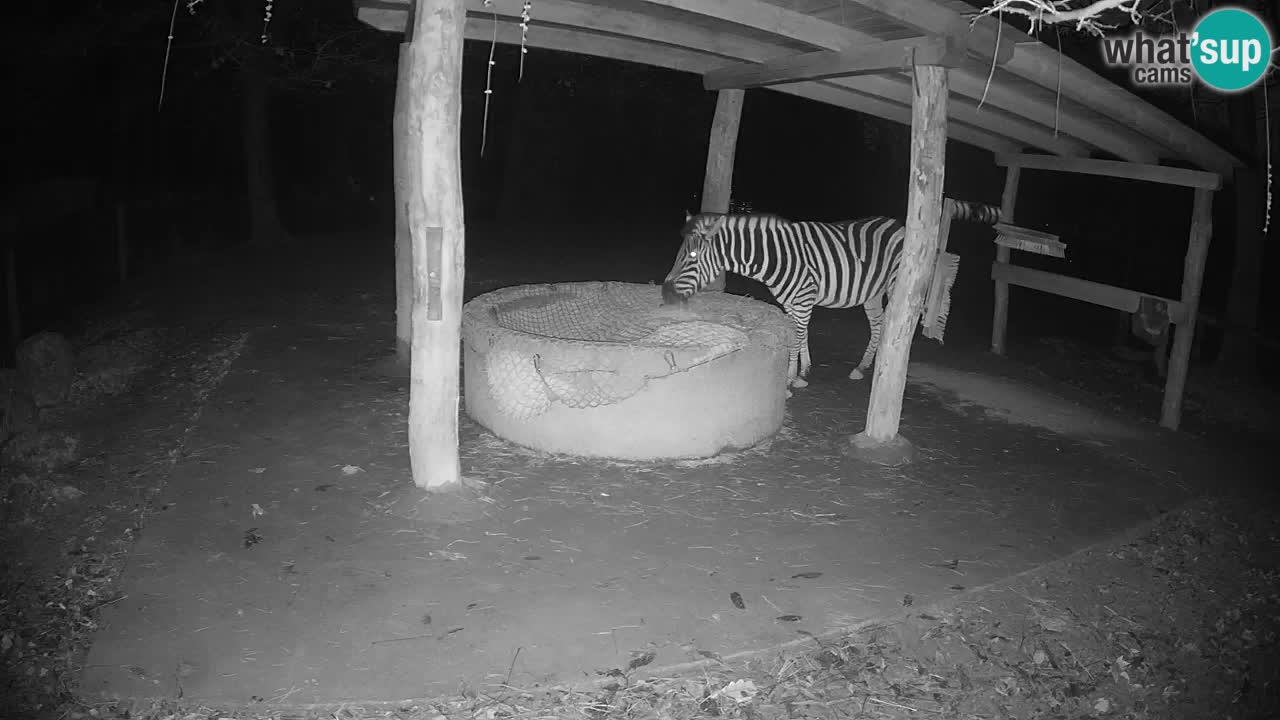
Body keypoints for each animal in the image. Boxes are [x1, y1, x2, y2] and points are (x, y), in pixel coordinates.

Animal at [661, 201, 1001, 390]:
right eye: (679, 253)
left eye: (692, 255)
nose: (664, 294)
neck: (775, 256)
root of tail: (900, 225)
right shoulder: (792, 302)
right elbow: (798, 333)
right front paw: (803, 371)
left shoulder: (804, 296)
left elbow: (798, 335)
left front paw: (790, 379)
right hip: (872, 293)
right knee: (879, 326)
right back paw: (862, 367)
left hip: (894, 287)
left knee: (894, 326)